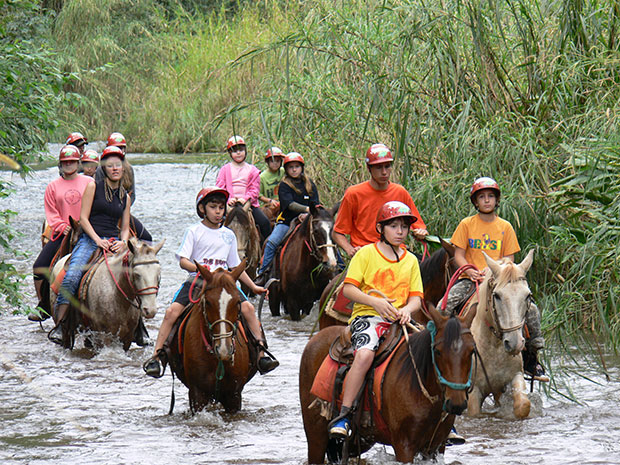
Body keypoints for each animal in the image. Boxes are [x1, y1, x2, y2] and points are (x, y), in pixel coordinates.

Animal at [302, 302, 478, 462]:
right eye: (437, 351)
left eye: (471, 351)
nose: (456, 403)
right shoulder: (404, 445)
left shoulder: (436, 446)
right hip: (315, 434)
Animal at [468, 248, 536, 418]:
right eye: (497, 295)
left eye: (528, 295)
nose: (515, 343)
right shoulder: (473, 392)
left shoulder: (515, 376)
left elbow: (523, 406)